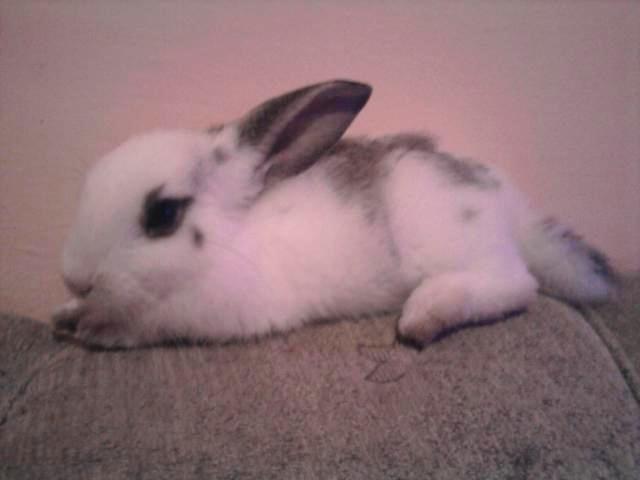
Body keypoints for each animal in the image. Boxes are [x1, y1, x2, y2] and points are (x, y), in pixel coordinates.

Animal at [51, 79, 616, 349]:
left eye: (164, 214)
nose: (76, 279)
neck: (233, 238)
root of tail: (509, 201)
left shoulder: (209, 314)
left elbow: (146, 325)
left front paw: (94, 330)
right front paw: (67, 315)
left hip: (453, 246)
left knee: (517, 284)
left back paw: (425, 315)